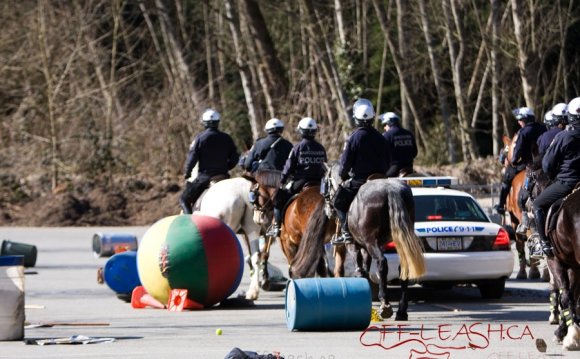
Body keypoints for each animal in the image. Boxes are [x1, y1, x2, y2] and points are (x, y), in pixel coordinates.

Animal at [294, 163, 426, 320]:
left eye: (324, 184)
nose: (327, 210)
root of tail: (390, 190)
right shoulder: (365, 248)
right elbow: (366, 269)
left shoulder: (353, 246)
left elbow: (360, 269)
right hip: (398, 240)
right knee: (403, 267)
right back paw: (401, 311)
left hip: (371, 241)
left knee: (382, 263)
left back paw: (385, 304)